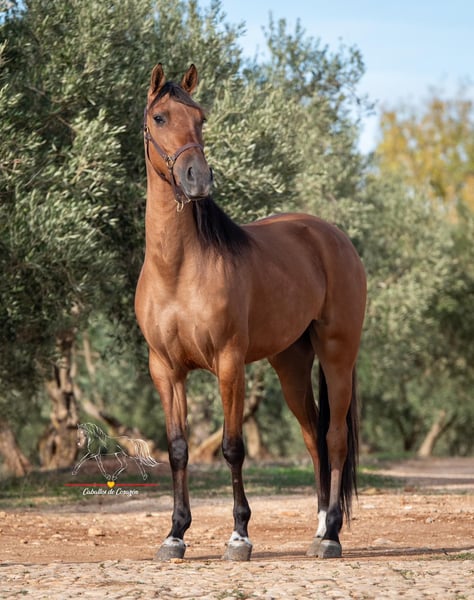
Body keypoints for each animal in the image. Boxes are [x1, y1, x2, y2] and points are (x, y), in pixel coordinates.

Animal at [135, 64, 366, 561]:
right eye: (160, 117)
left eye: (200, 117)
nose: (197, 178)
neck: (178, 268)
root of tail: (332, 236)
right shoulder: (165, 369)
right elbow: (178, 448)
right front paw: (175, 534)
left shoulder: (229, 363)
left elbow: (232, 447)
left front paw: (239, 535)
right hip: (291, 364)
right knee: (313, 437)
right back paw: (319, 526)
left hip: (337, 355)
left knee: (334, 438)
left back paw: (332, 536)